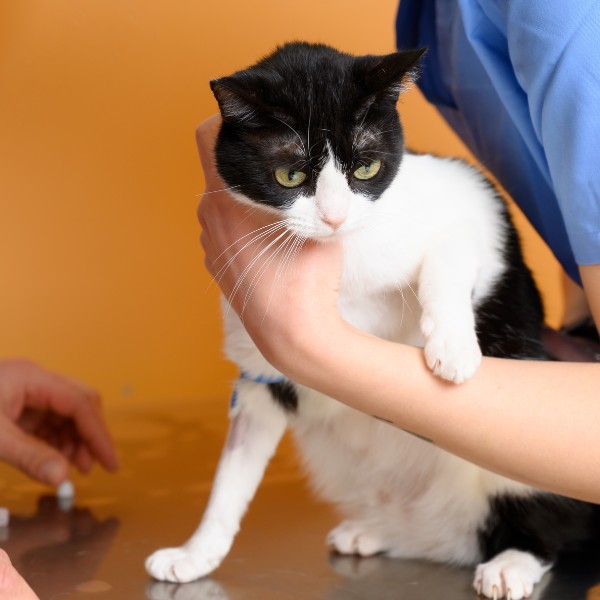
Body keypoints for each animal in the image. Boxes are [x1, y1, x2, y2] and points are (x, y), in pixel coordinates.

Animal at [145, 43, 600, 600]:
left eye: (366, 168)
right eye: (290, 176)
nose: (336, 217)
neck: (345, 258)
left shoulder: (473, 198)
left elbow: (451, 252)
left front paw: (452, 346)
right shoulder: (259, 374)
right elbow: (230, 475)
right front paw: (196, 552)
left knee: (544, 521)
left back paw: (512, 561)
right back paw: (378, 531)